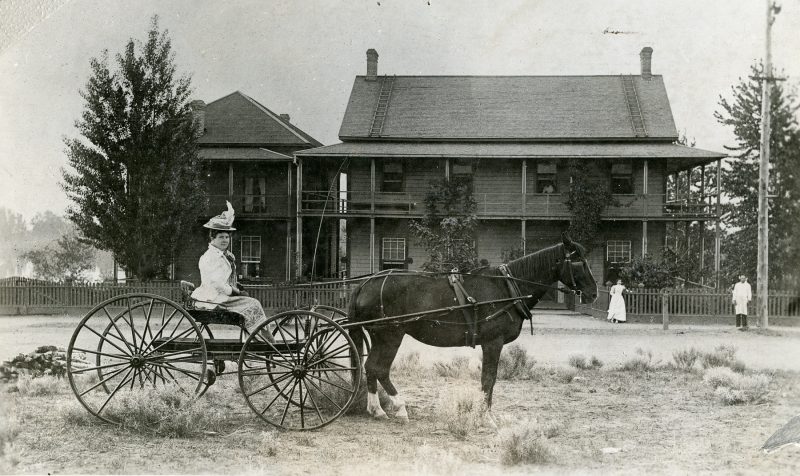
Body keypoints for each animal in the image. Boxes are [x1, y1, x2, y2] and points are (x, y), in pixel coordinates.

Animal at [346, 232, 596, 422]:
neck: (507, 288)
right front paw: (486, 416)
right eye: (579, 262)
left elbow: (488, 379)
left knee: (370, 367)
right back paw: (399, 407)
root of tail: (365, 284)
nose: (593, 293)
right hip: (391, 335)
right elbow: (489, 379)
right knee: (379, 369)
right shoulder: (493, 343)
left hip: (379, 336)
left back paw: (376, 409)